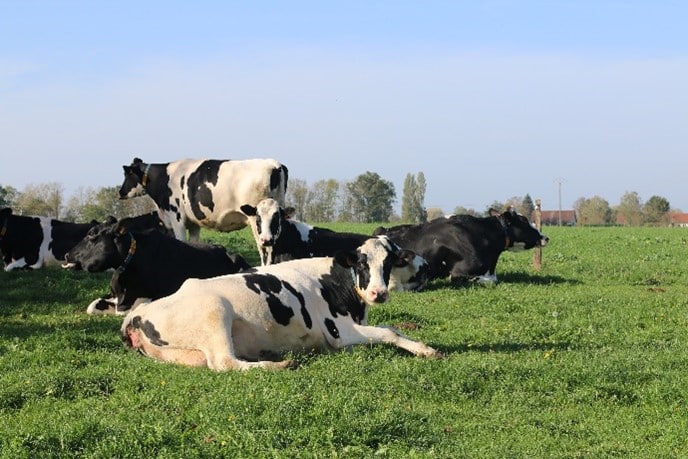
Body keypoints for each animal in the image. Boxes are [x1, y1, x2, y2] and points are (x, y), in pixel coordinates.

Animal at [118, 157, 288, 244]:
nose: (120, 192)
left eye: (127, 175)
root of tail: (274, 164)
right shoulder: (194, 223)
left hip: (258, 220)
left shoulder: (177, 219)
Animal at [120, 235, 438, 372]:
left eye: (389, 263)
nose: (378, 293)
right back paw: (280, 364)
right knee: (224, 362)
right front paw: (426, 350)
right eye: (361, 263)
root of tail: (139, 313)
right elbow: (390, 331)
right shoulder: (340, 332)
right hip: (215, 311)